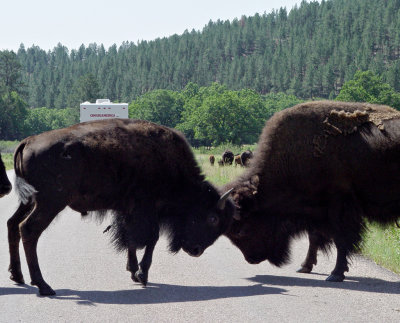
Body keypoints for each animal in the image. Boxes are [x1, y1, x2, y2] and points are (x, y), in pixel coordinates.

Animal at [7, 119, 236, 296]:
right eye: (213, 218)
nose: (196, 251)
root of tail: (28, 141)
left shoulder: (129, 210)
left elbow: (130, 240)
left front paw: (133, 271)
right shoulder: (147, 210)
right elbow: (150, 239)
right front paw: (142, 275)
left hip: (29, 201)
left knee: (12, 224)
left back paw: (17, 276)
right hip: (50, 203)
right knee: (28, 229)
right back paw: (44, 286)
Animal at [223, 101, 400, 284]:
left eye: (239, 230)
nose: (252, 259)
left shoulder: (338, 209)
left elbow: (341, 240)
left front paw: (336, 274)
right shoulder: (316, 213)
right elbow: (314, 238)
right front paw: (305, 267)